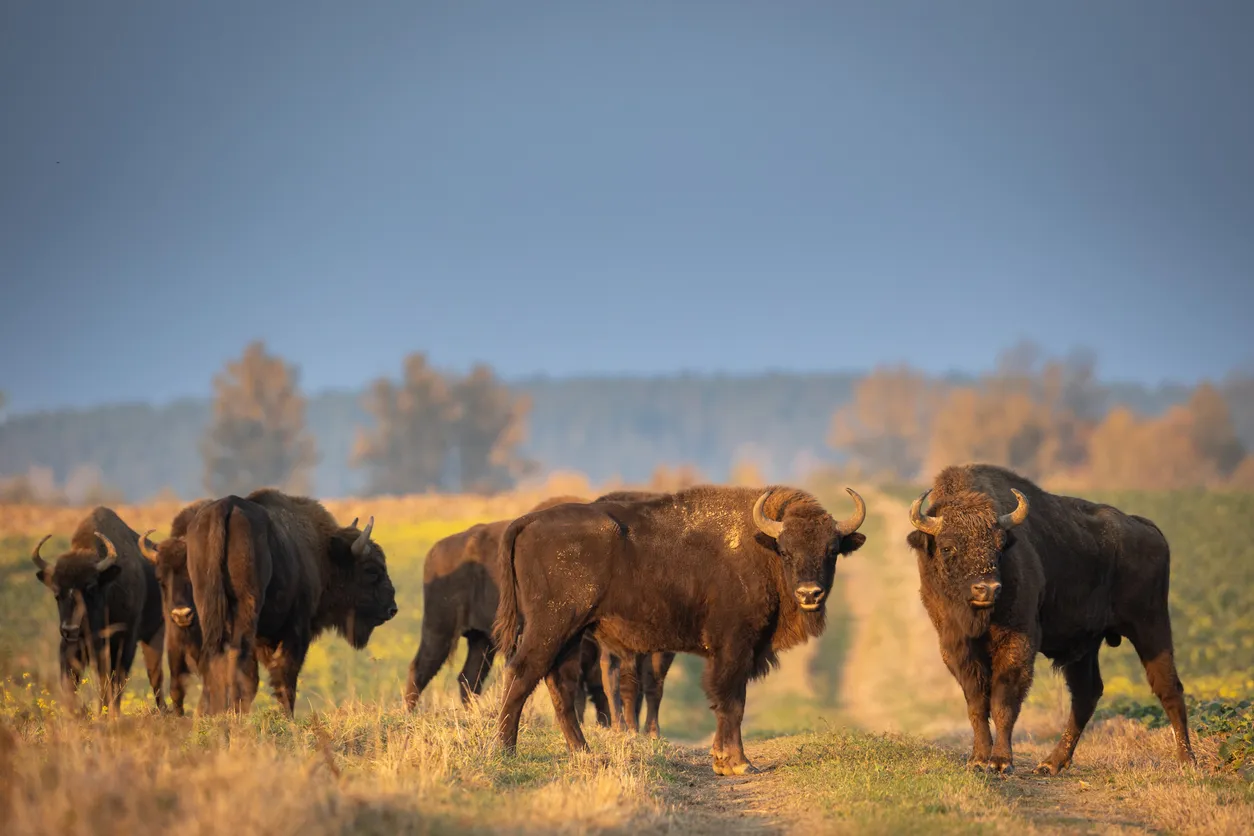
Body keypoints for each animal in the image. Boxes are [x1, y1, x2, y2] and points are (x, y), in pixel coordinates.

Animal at [32, 506, 167, 715]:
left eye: (91, 588)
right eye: (56, 594)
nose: (70, 629)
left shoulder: (124, 641)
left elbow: (114, 679)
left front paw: (109, 713)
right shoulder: (73, 646)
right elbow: (71, 681)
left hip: (154, 634)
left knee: (155, 675)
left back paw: (164, 711)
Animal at [187, 489, 399, 715]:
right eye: (371, 570)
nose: (392, 608)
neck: (324, 552)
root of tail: (226, 507)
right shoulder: (298, 627)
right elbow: (285, 672)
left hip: (208, 607)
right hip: (246, 608)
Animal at [493, 484, 867, 775]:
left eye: (832, 550)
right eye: (786, 551)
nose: (809, 593)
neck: (762, 547)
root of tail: (527, 521)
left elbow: (730, 701)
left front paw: (724, 759)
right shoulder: (734, 647)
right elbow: (731, 701)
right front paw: (738, 763)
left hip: (569, 635)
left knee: (559, 684)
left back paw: (584, 754)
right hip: (551, 628)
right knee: (523, 674)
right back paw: (505, 750)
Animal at [906, 464, 1195, 774]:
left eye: (999, 545)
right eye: (948, 547)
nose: (987, 589)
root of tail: (1148, 529)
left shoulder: (1019, 640)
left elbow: (1003, 700)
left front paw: (1001, 762)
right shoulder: (955, 644)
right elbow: (976, 701)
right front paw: (979, 759)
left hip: (1151, 626)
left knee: (1169, 688)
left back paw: (1187, 761)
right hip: (1088, 646)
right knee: (1087, 694)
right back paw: (1051, 763)